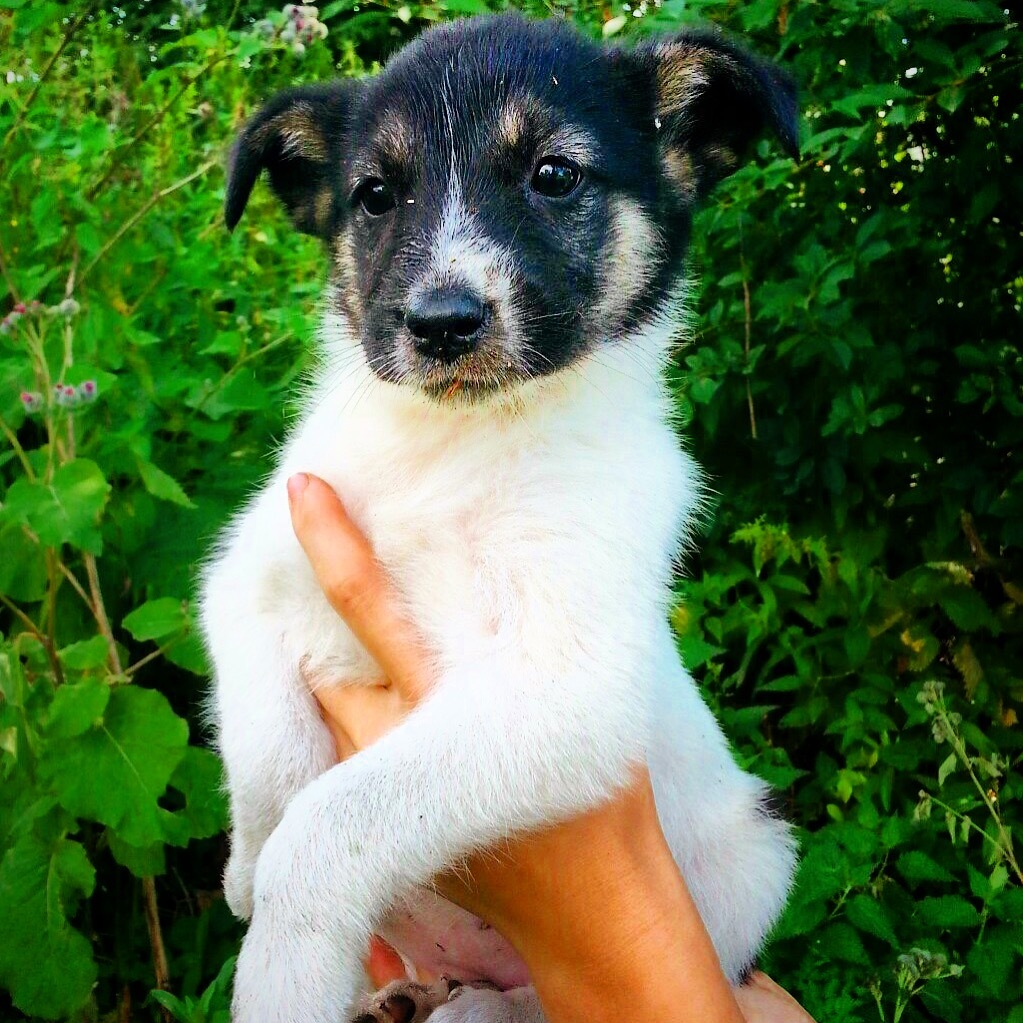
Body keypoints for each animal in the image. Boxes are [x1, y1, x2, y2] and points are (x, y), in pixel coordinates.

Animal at [203, 9, 797, 1023]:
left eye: (554, 175)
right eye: (374, 196)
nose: (441, 323)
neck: (459, 443)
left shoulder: (563, 689)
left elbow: (330, 823)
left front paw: (280, 971)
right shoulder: (248, 572)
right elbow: (268, 753)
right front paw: (245, 866)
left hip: (755, 853)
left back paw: (472, 1005)